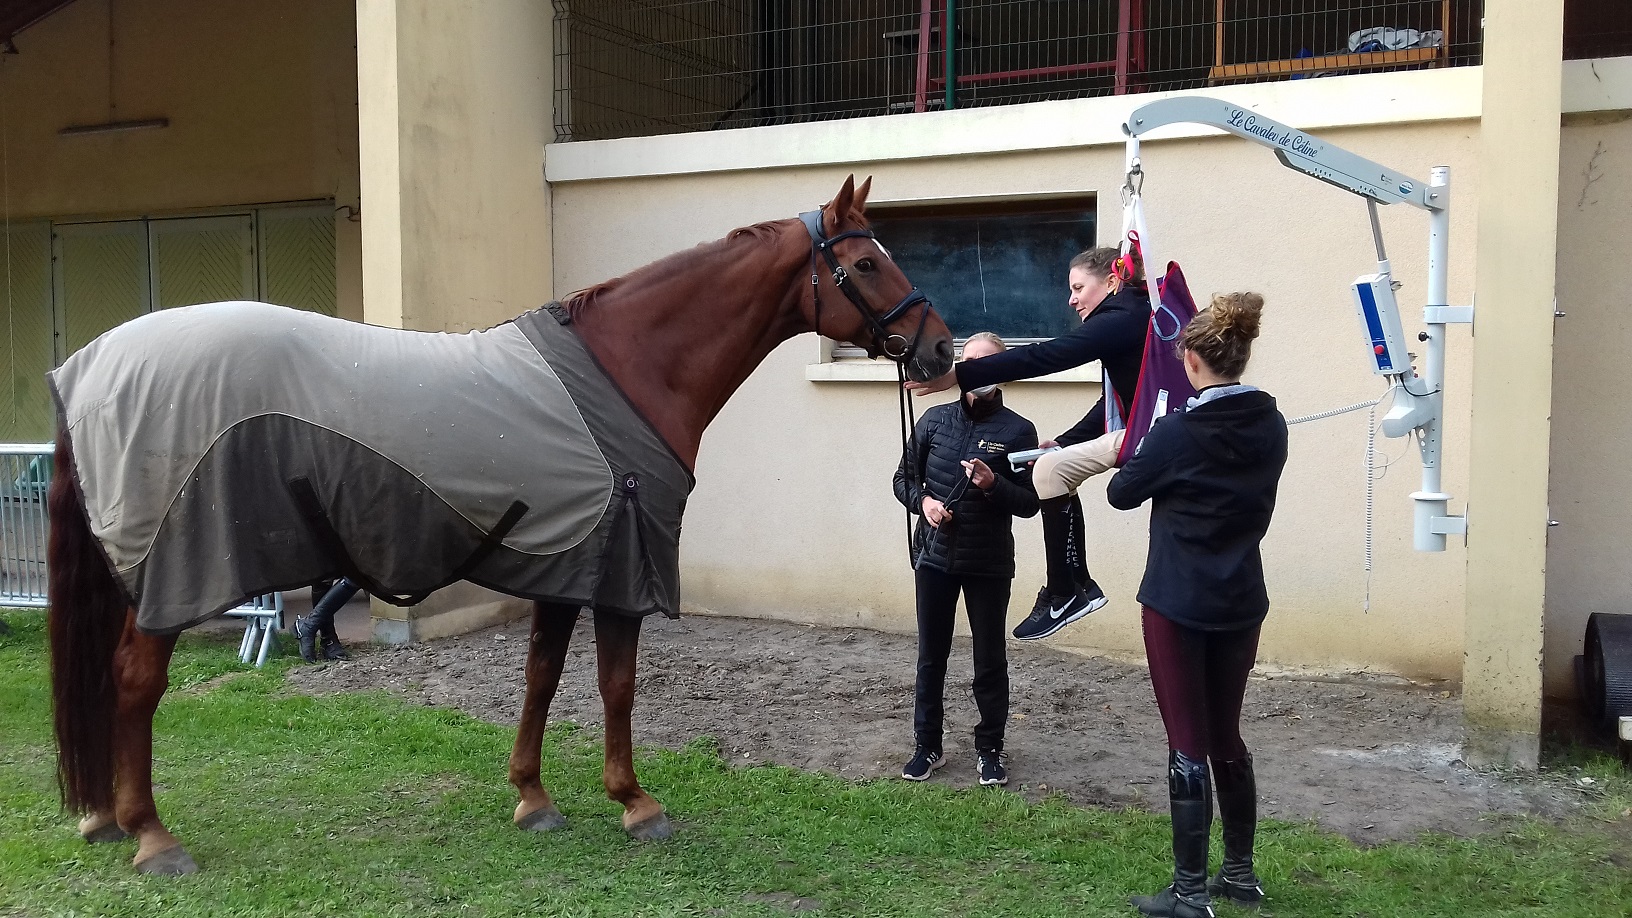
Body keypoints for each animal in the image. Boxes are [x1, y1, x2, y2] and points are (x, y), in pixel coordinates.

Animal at [47, 174, 953, 868]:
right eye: (866, 261)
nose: (940, 350)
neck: (630, 368)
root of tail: (91, 366)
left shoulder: (564, 559)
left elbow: (542, 677)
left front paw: (533, 797)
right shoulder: (621, 568)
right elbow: (617, 685)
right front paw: (635, 803)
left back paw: (104, 818)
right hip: (168, 573)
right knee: (136, 682)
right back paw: (153, 838)